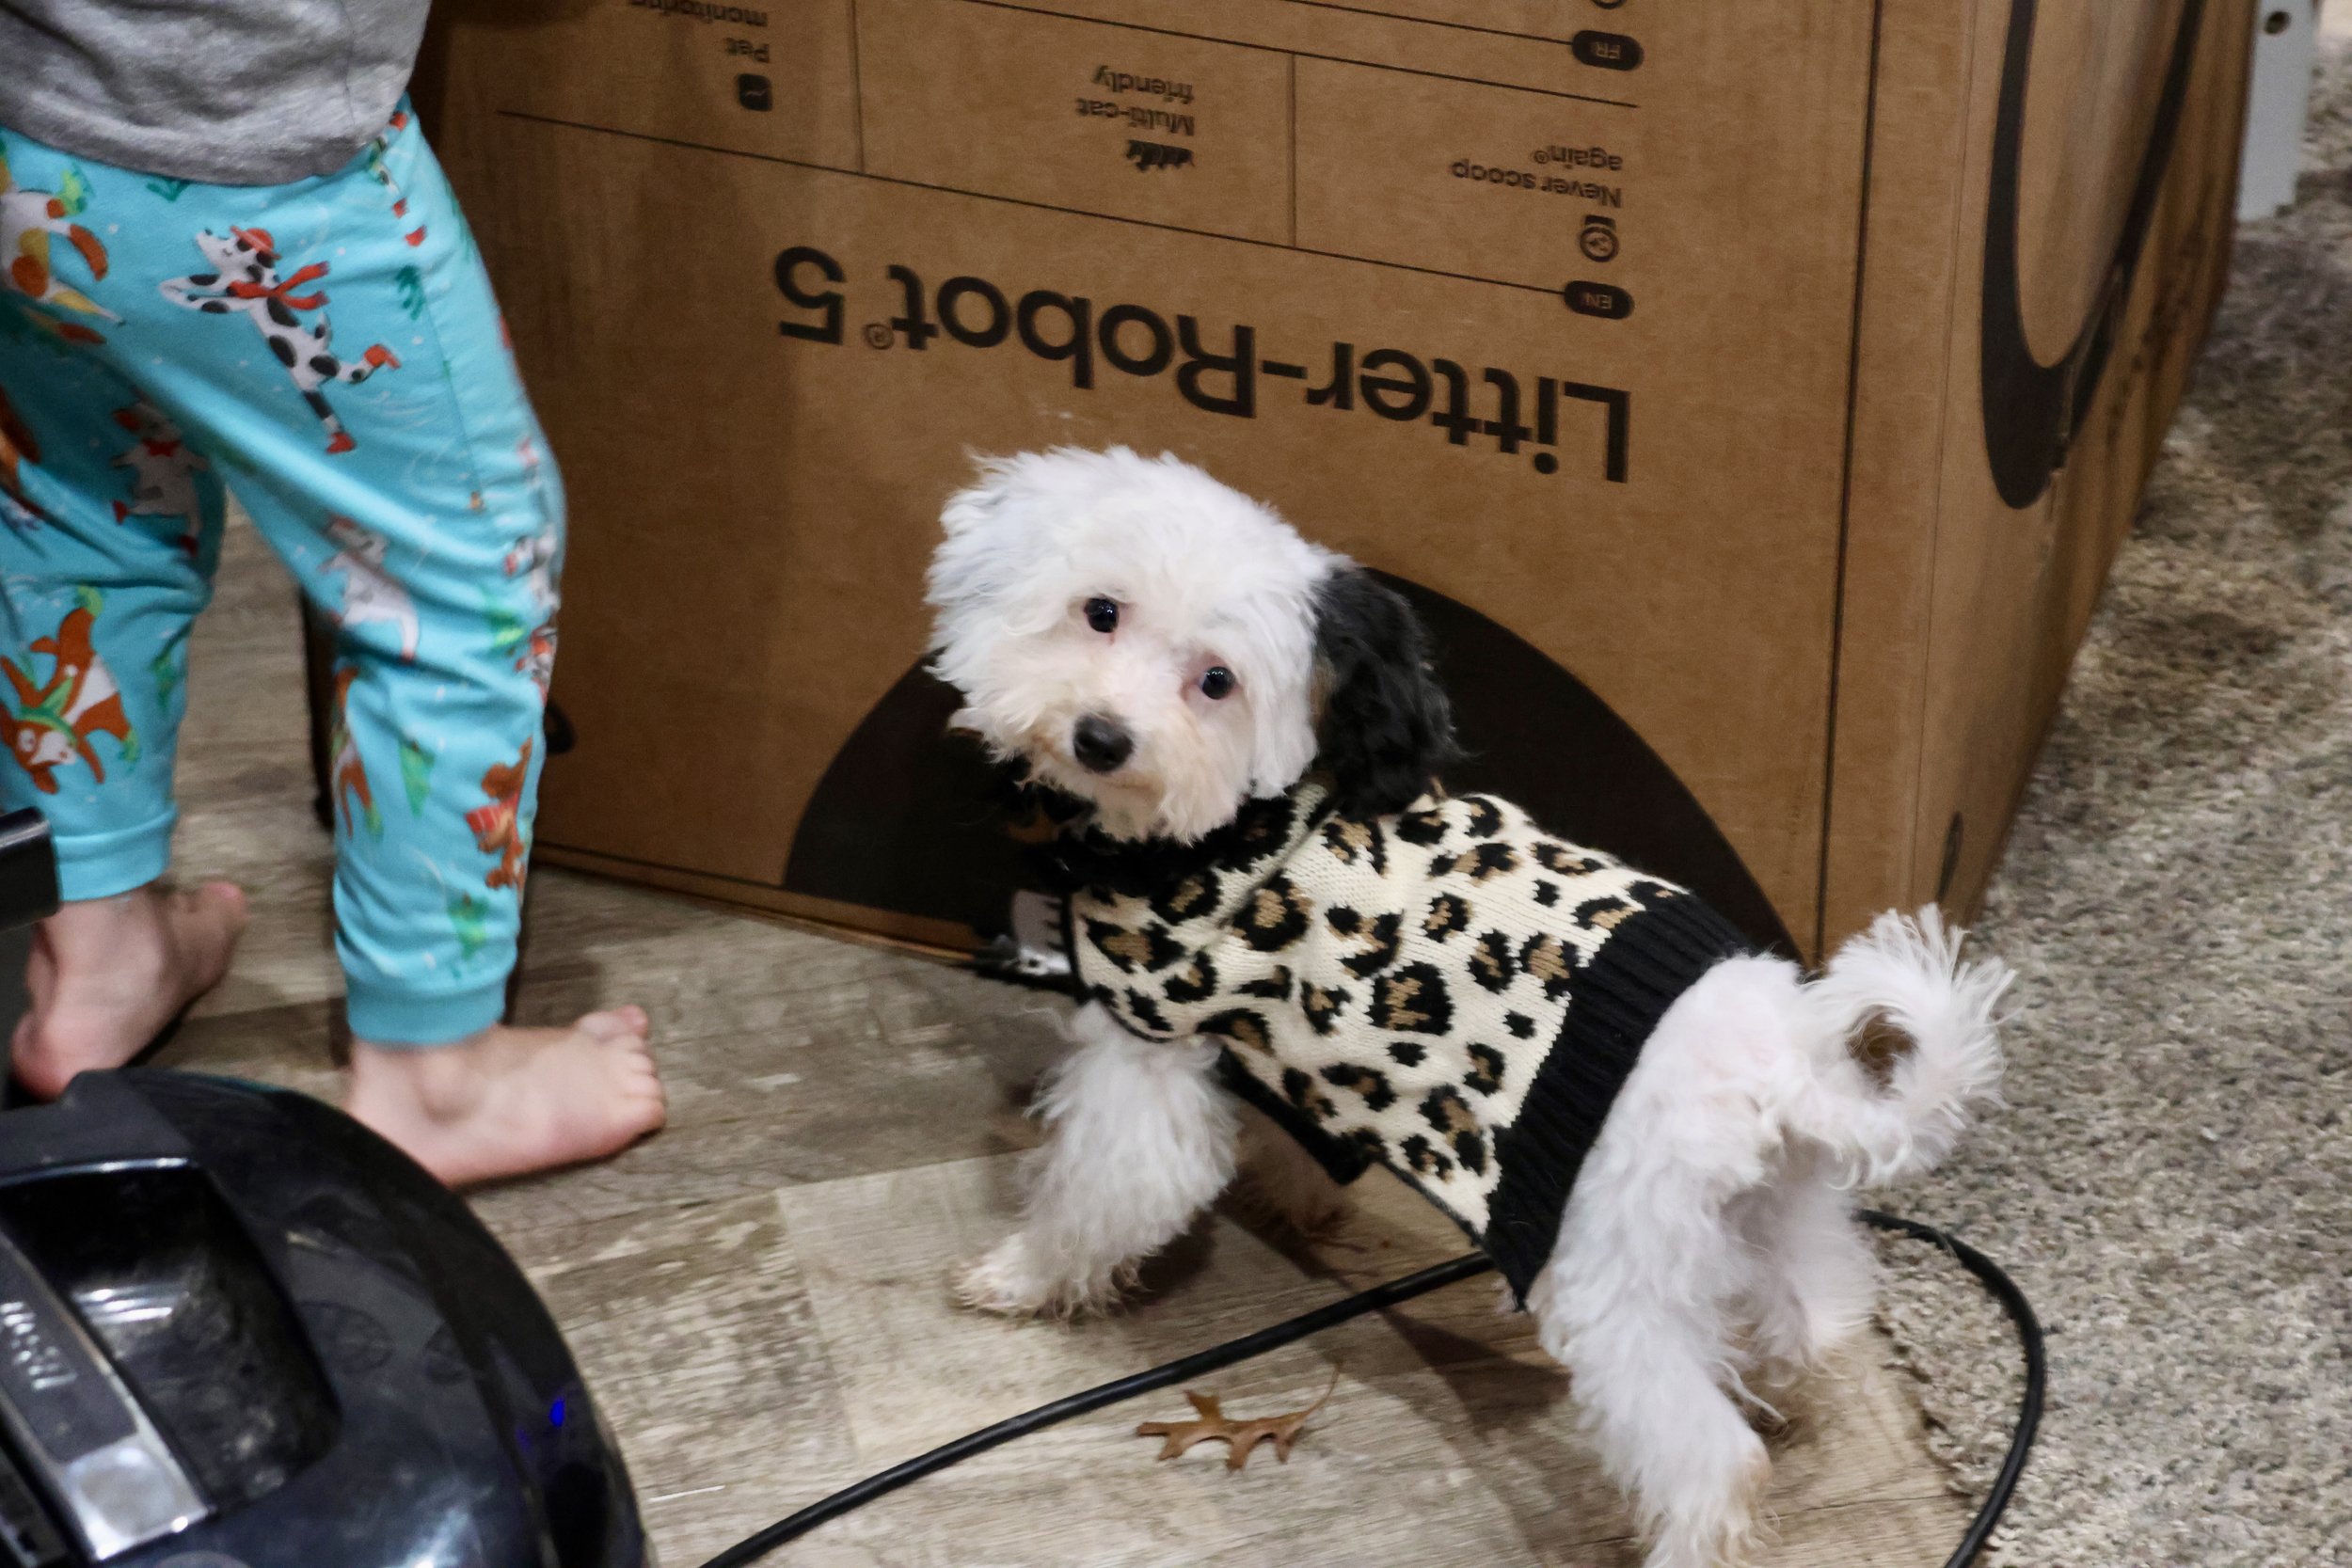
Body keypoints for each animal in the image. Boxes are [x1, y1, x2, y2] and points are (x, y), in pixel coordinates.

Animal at [924, 447, 2010, 1568]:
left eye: (1215, 681)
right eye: (1099, 611)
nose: (1101, 736)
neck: (1233, 821)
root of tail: (1776, 1059)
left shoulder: (1151, 1040)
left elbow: (1102, 1194)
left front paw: (1020, 1277)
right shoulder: (1288, 1047)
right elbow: (1299, 1137)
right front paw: (1303, 1201)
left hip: (1609, 1279)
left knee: (1709, 1459)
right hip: (1762, 1219)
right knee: (1816, 1315)